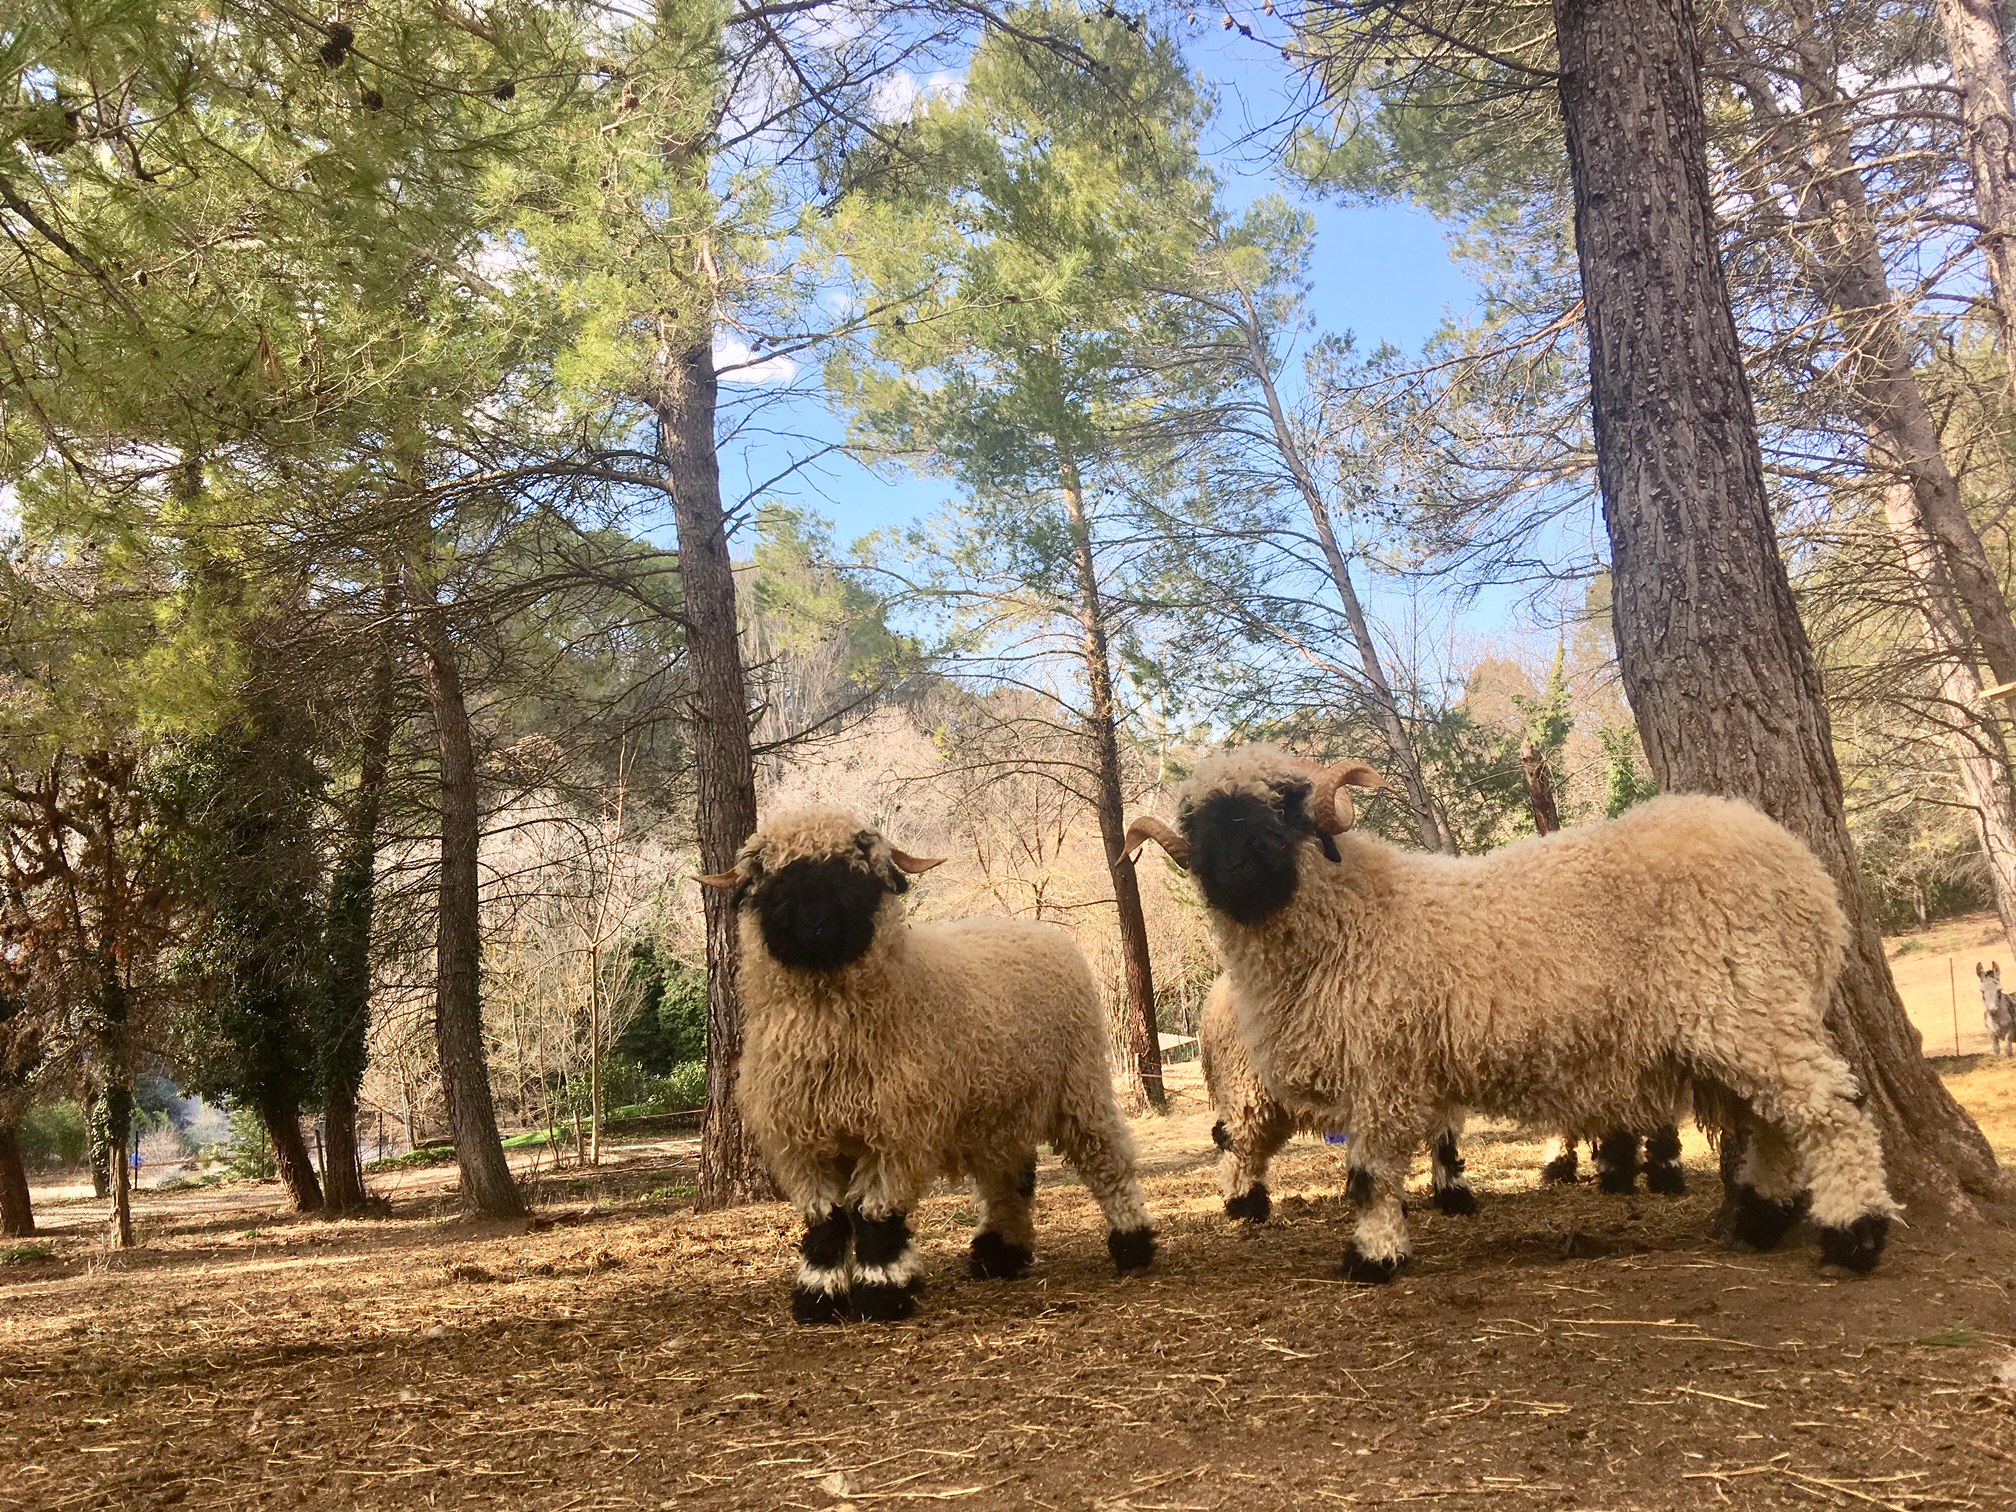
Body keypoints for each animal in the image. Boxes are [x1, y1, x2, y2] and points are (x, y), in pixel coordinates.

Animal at [699, 806, 1155, 1324]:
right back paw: (1000, 1255)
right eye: (774, 878)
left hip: (1080, 1083)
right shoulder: (801, 1140)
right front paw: (818, 1296)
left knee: (1108, 1159)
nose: (815, 920)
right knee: (1010, 1177)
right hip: (999, 1103)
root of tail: (1036, 930)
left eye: (856, 872)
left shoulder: (897, 1131)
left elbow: (876, 1214)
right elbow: (826, 1220)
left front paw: (883, 1291)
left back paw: (1133, 1244)